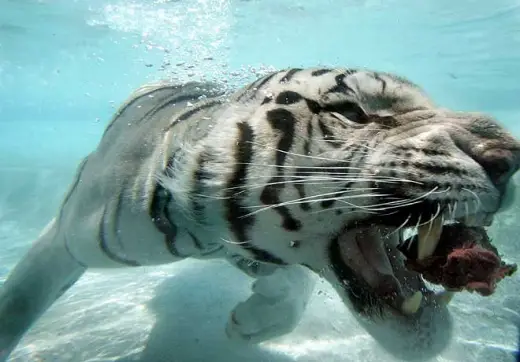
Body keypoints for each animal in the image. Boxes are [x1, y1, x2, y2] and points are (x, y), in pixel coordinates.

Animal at [1, 67, 520, 360]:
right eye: (351, 111)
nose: (509, 157)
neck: (213, 234)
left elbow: (290, 286)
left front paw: (252, 320)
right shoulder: (67, 233)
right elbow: (19, 301)